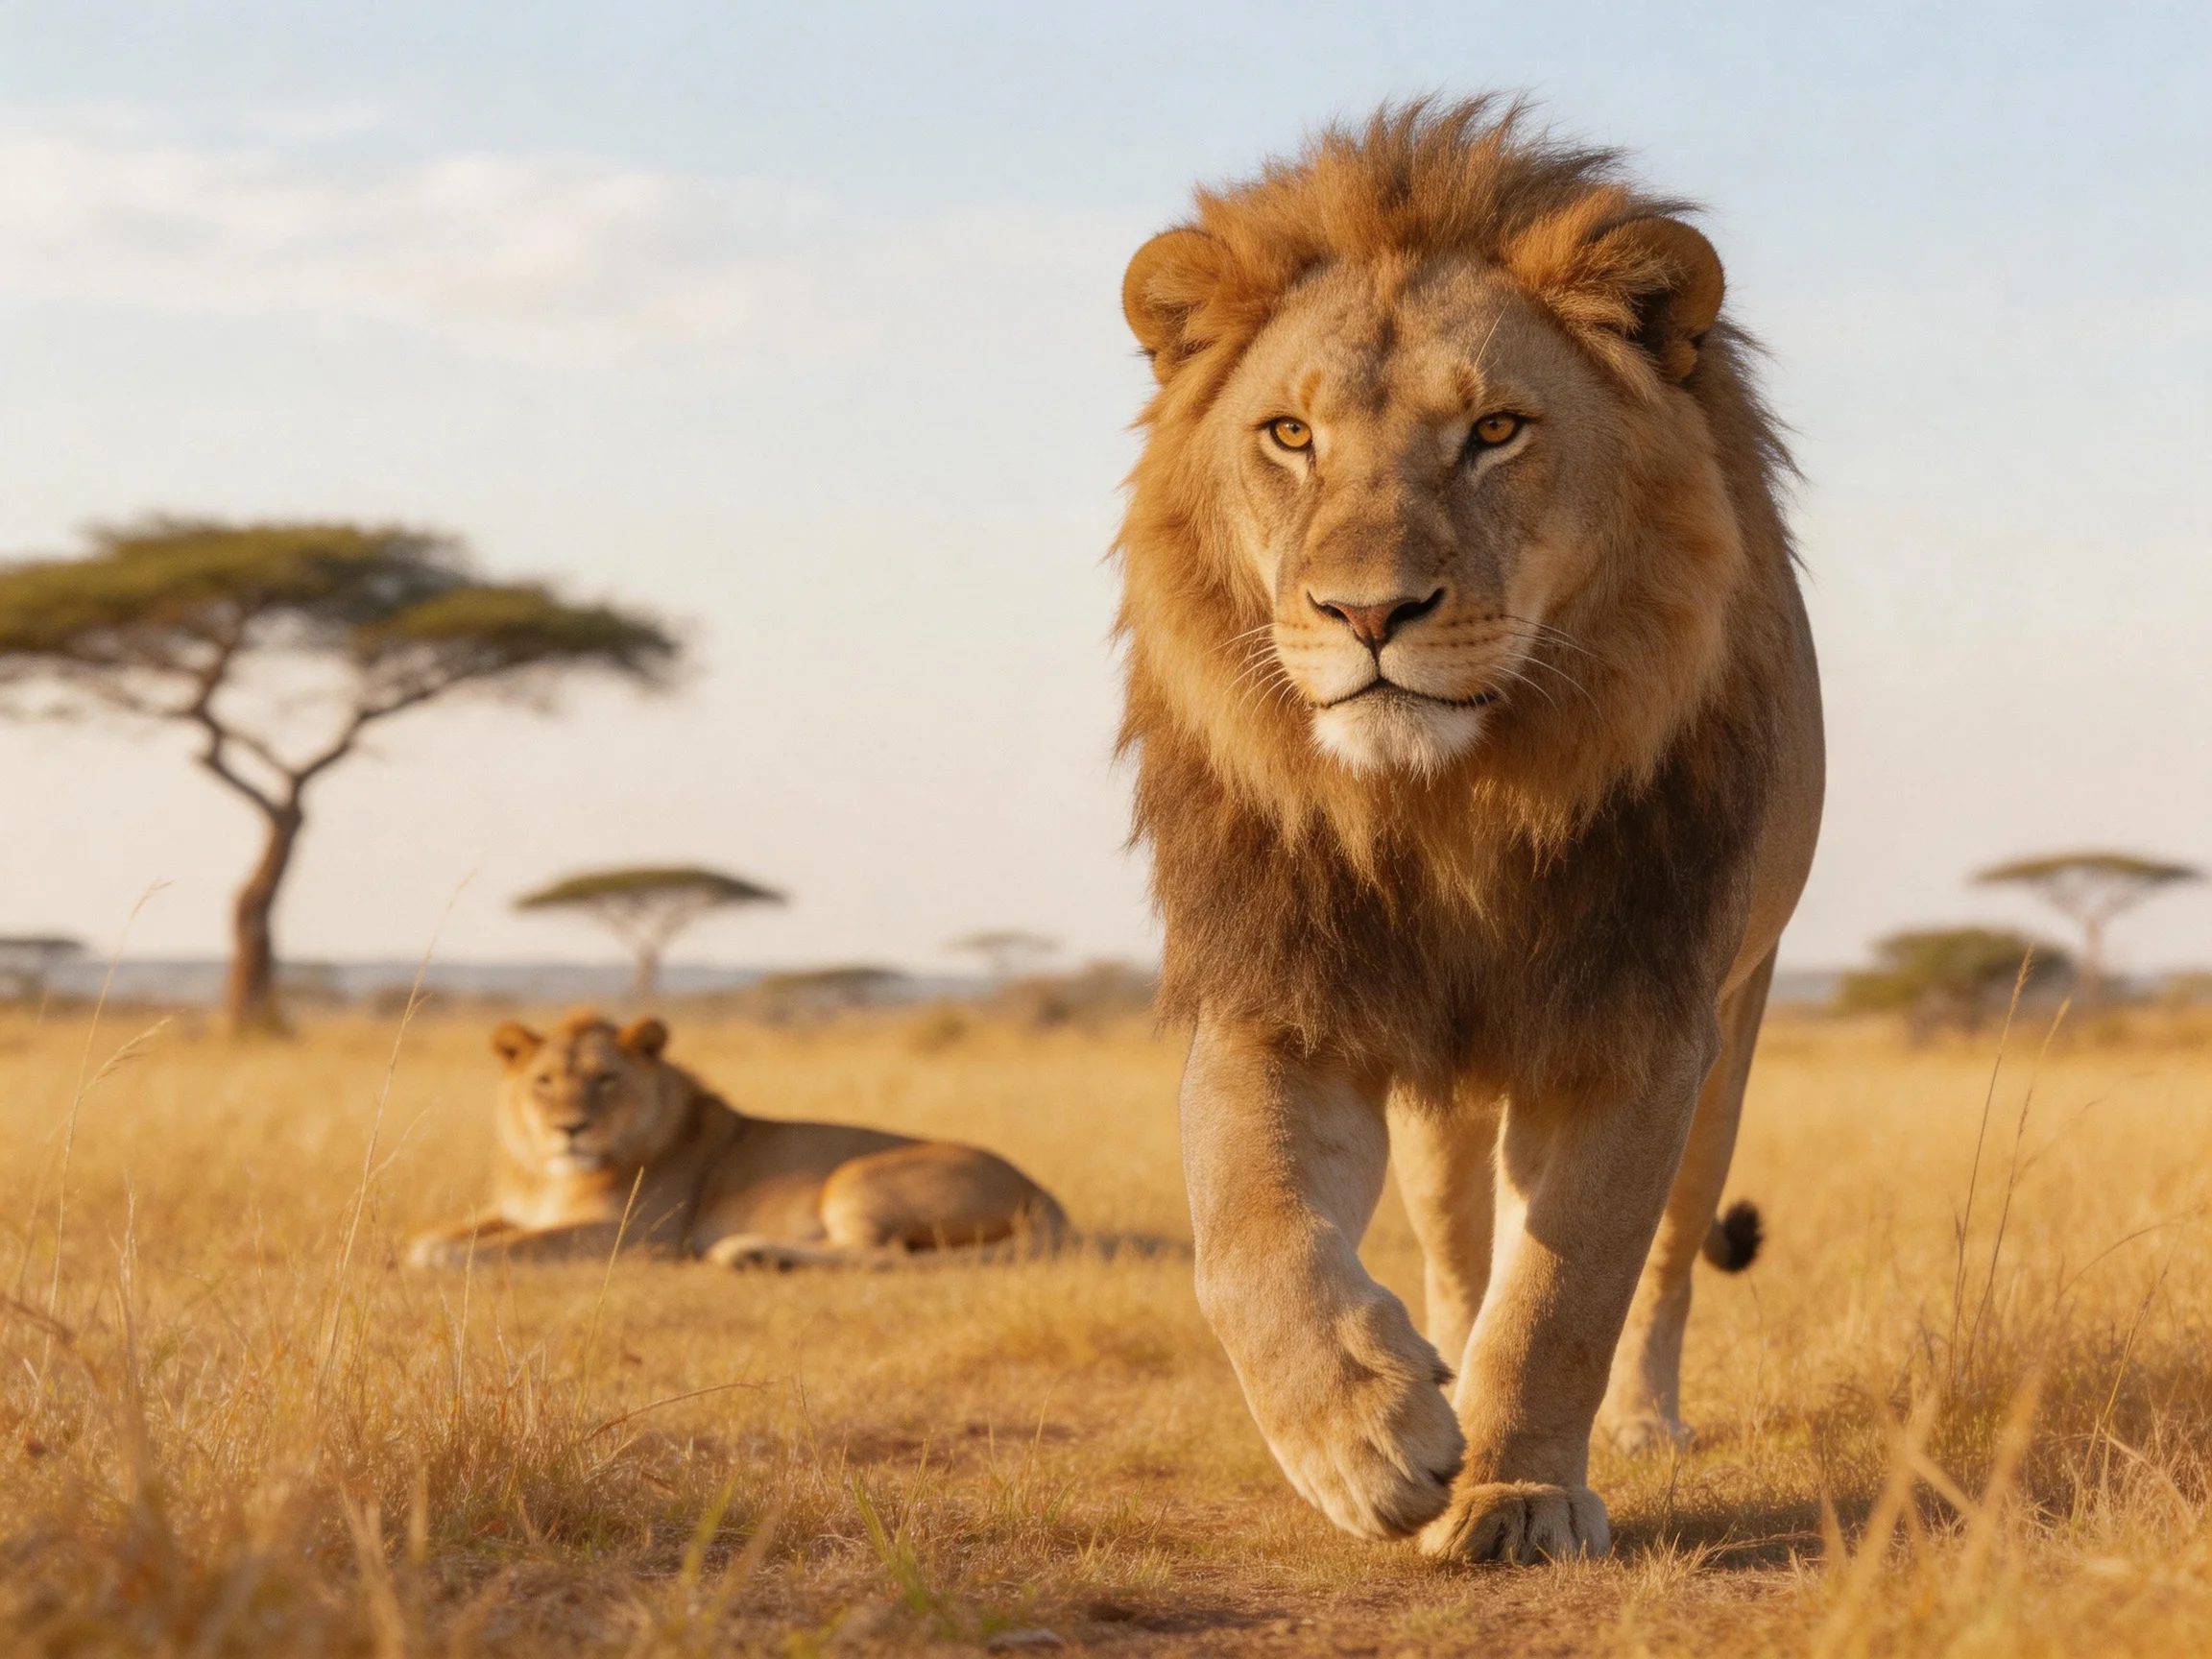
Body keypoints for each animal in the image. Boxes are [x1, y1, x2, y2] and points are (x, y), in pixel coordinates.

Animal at [405, 1011, 1068, 1270]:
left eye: (604, 1079)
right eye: (544, 1082)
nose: (569, 1128)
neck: (550, 1175)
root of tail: (1043, 1190)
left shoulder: (639, 1236)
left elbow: (519, 1244)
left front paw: (446, 1256)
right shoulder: (516, 1208)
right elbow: (462, 1229)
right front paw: (419, 1245)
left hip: (855, 1176)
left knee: (882, 1254)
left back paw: (747, 1253)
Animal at [1114, 99, 1823, 1564]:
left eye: (1496, 428)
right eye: (1289, 435)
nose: (1366, 613)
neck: (1448, 808)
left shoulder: (1636, 1023)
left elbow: (1569, 1287)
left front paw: (1516, 1493)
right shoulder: (1279, 994)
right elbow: (1246, 1229)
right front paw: (1363, 1434)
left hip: (1733, 1035)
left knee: (1667, 1257)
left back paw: (1641, 1425)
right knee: (1452, 1246)